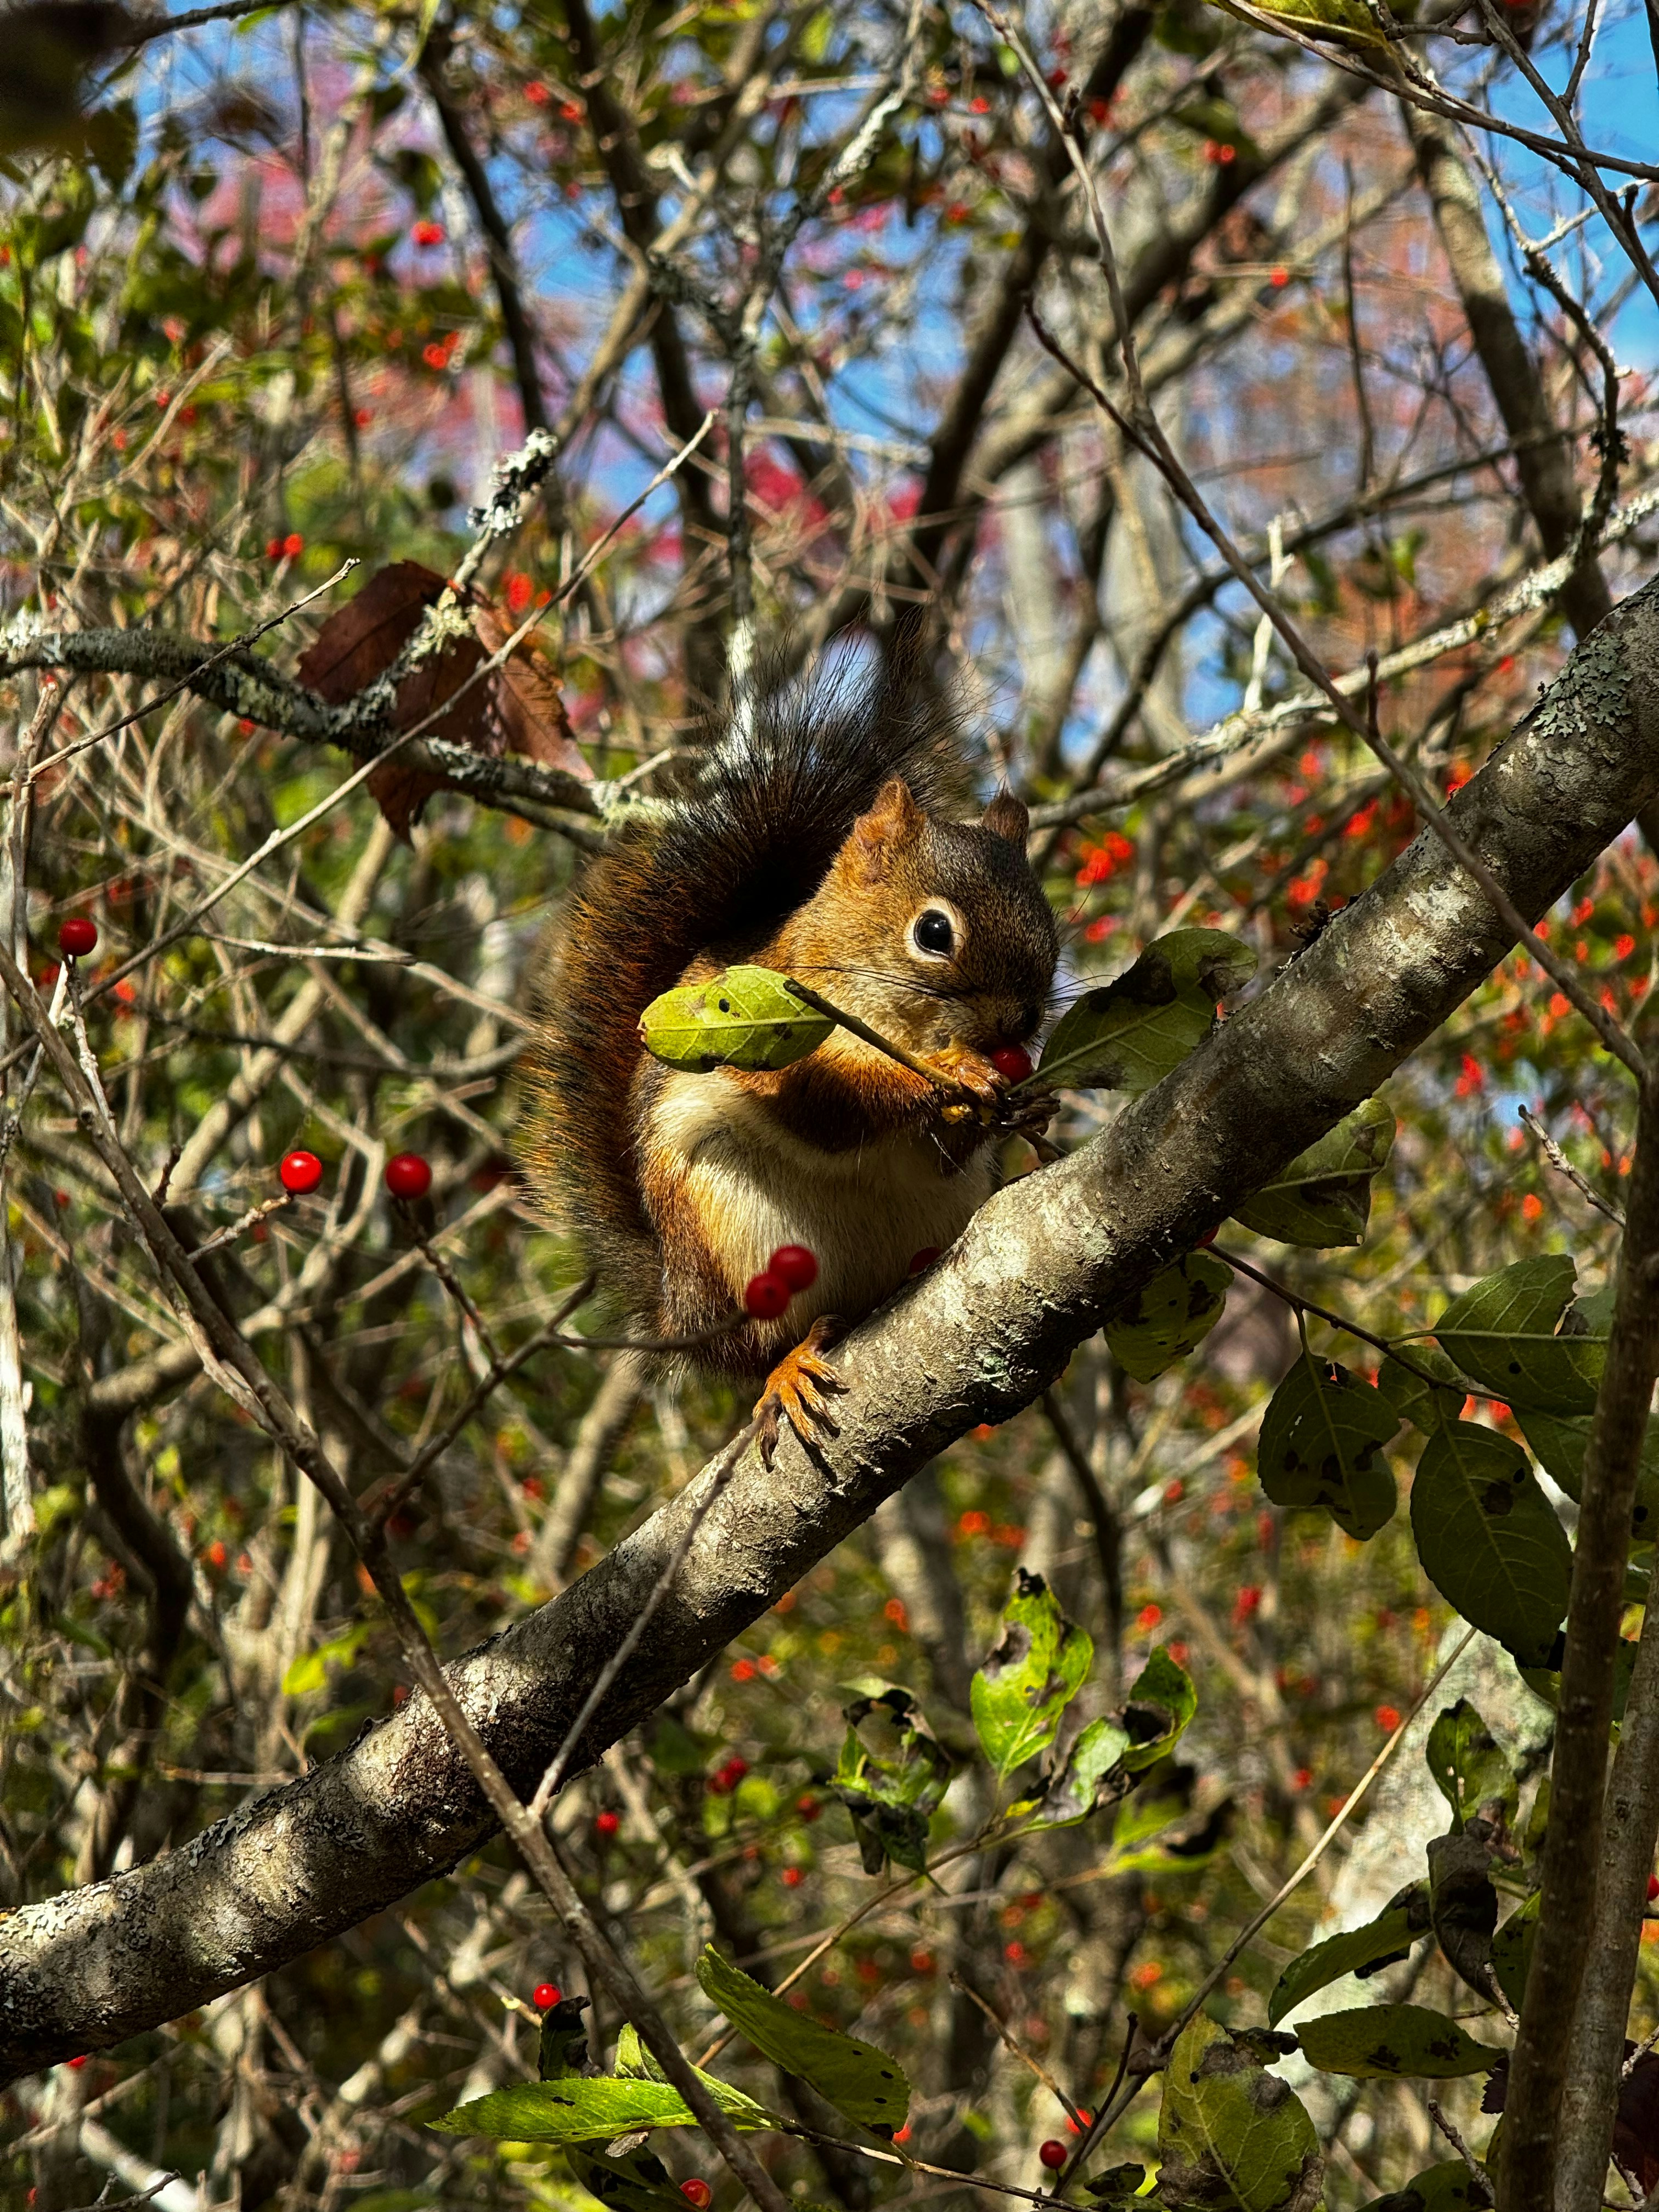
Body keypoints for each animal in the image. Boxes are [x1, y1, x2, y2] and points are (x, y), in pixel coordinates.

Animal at [518, 658, 1059, 1459]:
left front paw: (1024, 1107)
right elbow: (827, 1108)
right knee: (758, 1349)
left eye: (1050, 928)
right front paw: (956, 1076)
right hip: (734, 1244)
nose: (1020, 1027)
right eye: (934, 933)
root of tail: (680, 1314)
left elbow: (940, 1155)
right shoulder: (784, 1046)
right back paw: (790, 1366)